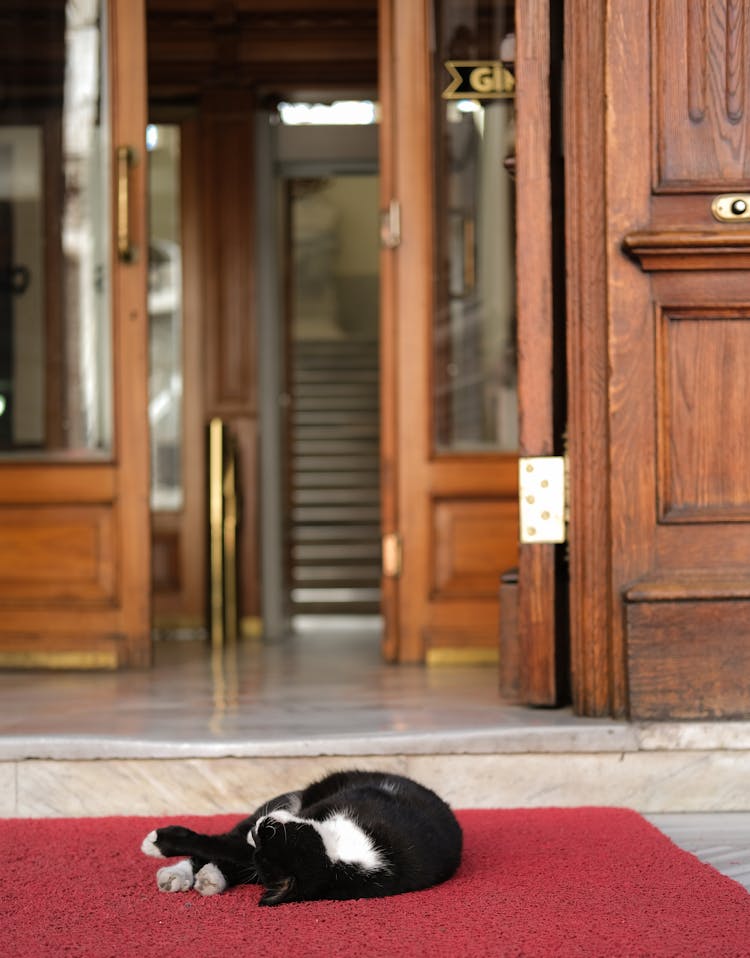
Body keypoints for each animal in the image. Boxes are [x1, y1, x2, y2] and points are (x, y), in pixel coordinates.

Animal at [138, 772, 462, 908]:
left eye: (269, 834)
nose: (259, 827)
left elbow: (229, 848)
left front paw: (163, 841)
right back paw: (177, 874)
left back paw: (206, 877)